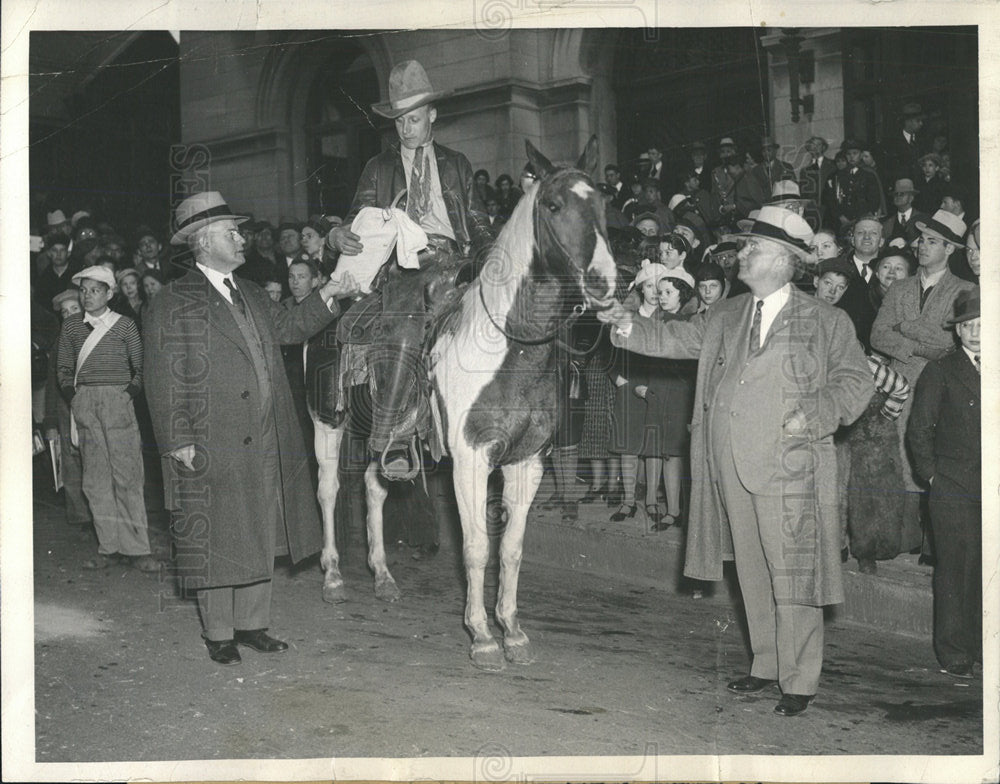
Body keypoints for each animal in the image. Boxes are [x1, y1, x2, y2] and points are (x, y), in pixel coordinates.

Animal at [312, 138, 612, 672]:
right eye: (554, 205)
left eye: (602, 202)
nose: (605, 281)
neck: (509, 348)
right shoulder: (471, 458)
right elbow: (475, 547)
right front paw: (483, 637)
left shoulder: (527, 461)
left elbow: (510, 549)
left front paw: (513, 631)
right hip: (326, 420)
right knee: (328, 490)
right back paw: (333, 577)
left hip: (383, 435)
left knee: (374, 486)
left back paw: (383, 576)